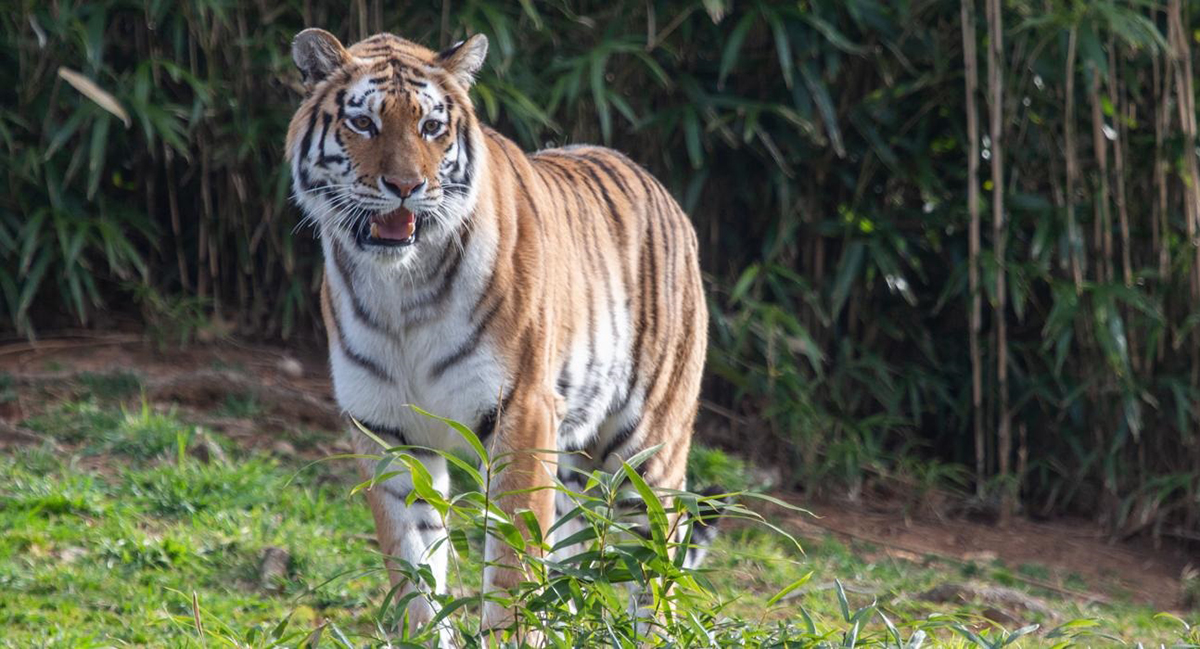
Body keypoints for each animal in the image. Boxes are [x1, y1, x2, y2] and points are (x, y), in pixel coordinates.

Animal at [283, 29, 710, 633]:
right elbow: (415, 572)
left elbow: (511, 572)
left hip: (646, 455)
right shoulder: (384, 428)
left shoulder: (522, 411)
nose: (406, 186)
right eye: (363, 123)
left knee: (652, 576)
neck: (400, 291)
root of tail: (660, 189)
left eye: (430, 127)